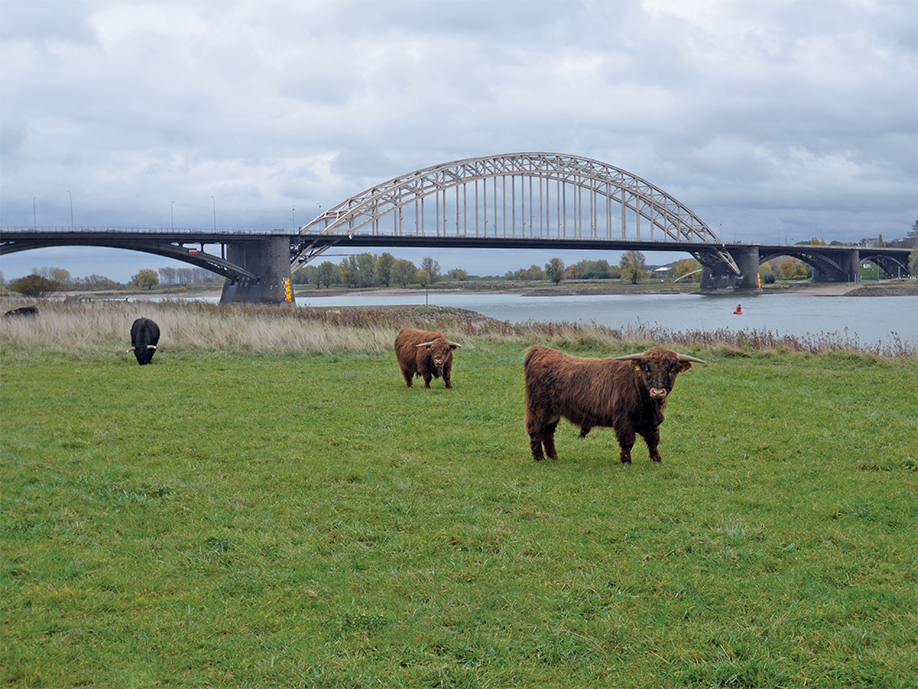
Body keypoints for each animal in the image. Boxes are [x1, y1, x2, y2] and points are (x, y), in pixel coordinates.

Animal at [524, 344, 704, 462]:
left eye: (671, 370)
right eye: (647, 369)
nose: (658, 392)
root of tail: (540, 350)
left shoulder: (652, 421)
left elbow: (654, 440)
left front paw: (656, 459)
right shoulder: (624, 419)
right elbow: (628, 441)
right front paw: (626, 461)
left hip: (553, 413)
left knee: (548, 433)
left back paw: (553, 457)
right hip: (538, 408)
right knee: (536, 430)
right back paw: (539, 458)